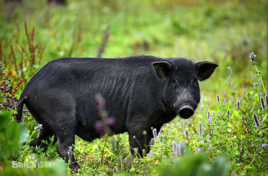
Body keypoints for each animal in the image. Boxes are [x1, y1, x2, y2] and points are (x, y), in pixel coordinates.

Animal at [15, 55, 218, 169]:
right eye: (174, 81)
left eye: (193, 80)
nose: (186, 107)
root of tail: (27, 90)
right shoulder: (137, 120)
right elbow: (137, 148)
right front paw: (133, 168)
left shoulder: (156, 124)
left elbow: (147, 148)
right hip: (62, 118)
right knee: (63, 147)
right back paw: (78, 170)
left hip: (45, 123)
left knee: (37, 144)